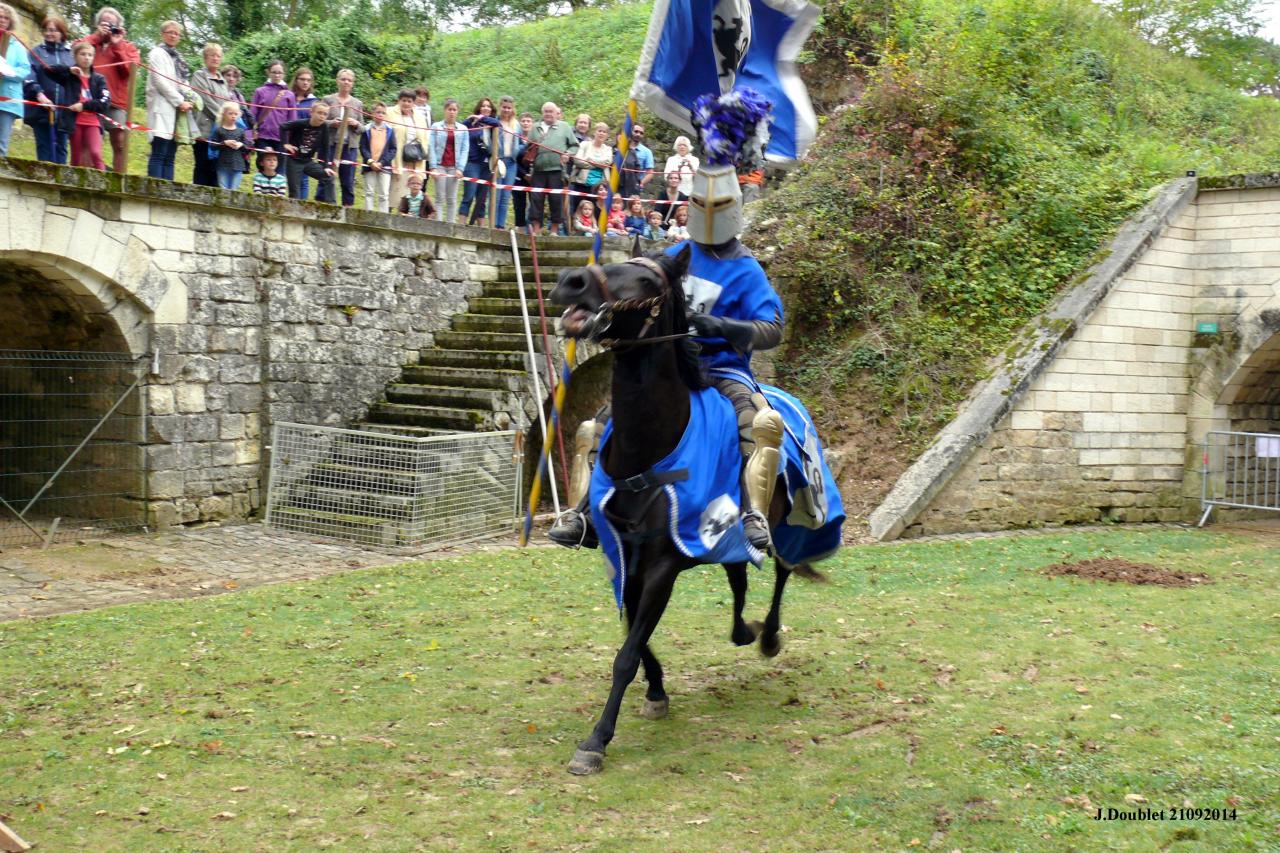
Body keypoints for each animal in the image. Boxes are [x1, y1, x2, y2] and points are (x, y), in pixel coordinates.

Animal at [549, 244, 843, 775]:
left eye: (648, 282)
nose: (571, 282)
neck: (650, 446)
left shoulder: (662, 566)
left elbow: (626, 652)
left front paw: (596, 741)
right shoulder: (622, 558)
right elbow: (634, 635)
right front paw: (656, 691)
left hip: (786, 518)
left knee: (782, 569)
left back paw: (768, 636)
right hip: (724, 539)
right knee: (739, 577)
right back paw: (743, 631)